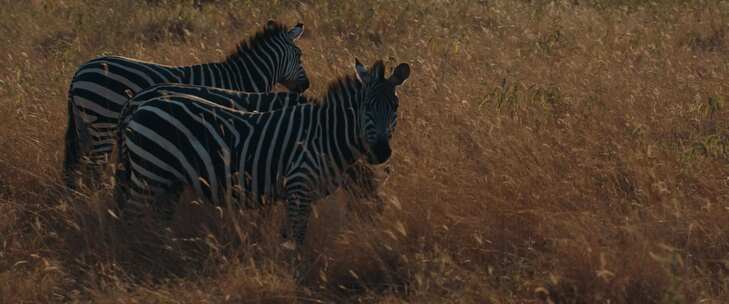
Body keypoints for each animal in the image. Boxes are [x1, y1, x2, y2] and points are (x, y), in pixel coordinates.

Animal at [63, 20, 310, 190]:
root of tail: (79, 71)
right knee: (94, 169)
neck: (241, 78)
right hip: (102, 123)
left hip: (85, 125)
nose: (306, 85)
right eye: (300, 55)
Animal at [114, 58, 410, 247]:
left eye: (395, 106)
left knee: (159, 218)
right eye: (366, 106)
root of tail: (137, 103)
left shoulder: (292, 192)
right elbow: (298, 240)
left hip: (169, 179)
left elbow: (286, 234)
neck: (326, 135)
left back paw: (163, 250)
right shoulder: (298, 185)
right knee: (131, 216)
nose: (380, 152)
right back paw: (134, 253)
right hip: (150, 170)